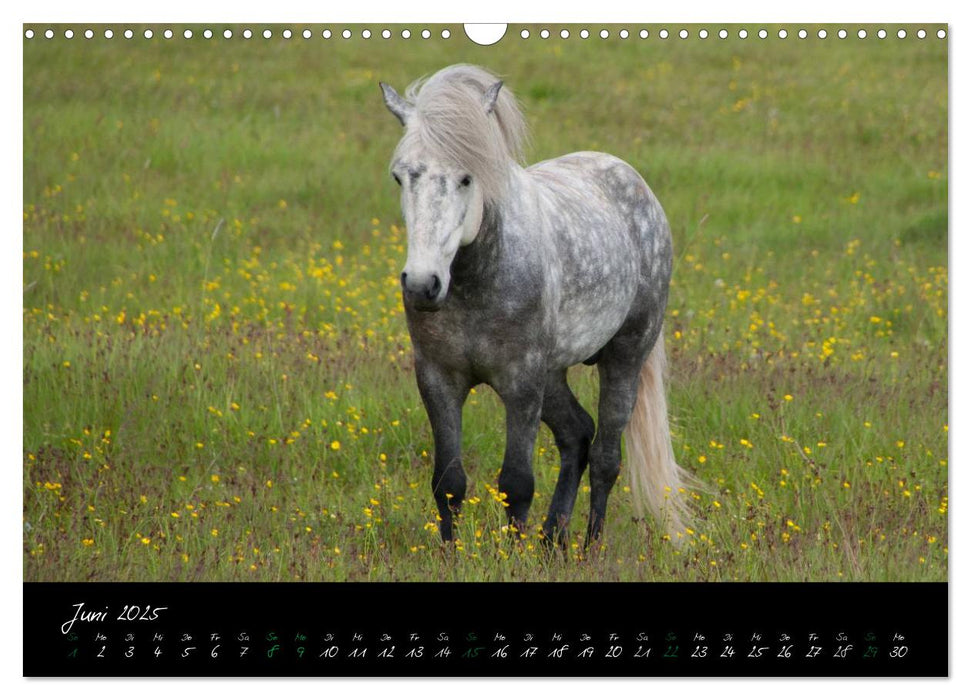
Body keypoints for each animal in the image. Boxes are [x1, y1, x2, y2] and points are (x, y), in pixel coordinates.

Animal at [380, 64, 692, 548]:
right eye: (400, 177)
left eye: (467, 178)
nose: (421, 284)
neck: (477, 283)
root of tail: (633, 181)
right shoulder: (438, 380)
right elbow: (448, 482)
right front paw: (450, 554)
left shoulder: (521, 383)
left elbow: (516, 483)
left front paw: (511, 556)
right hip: (553, 373)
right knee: (577, 436)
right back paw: (551, 540)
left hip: (624, 357)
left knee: (606, 456)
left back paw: (588, 547)